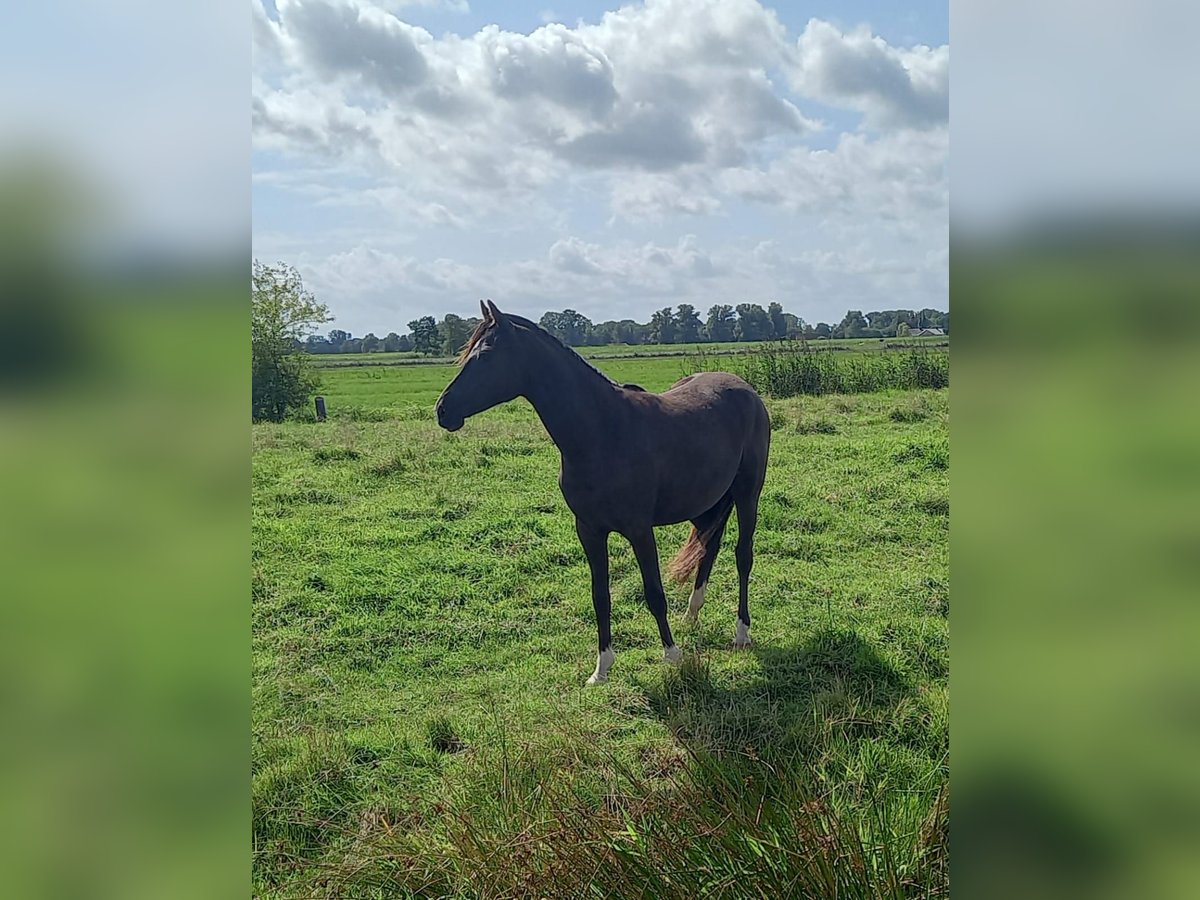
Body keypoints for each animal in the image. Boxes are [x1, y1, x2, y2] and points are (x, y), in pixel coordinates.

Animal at [434, 300, 768, 686]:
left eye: (486, 355)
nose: (443, 410)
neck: (601, 432)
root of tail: (745, 389)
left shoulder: (639, 530)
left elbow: (654, 592)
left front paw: (673, 657)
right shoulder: (590, 530)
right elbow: (600, 596)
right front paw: (602, 668)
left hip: (747, 494)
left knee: (743, 555)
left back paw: (741, 632)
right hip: (710, 502)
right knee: (708, 549)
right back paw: (691, 617)